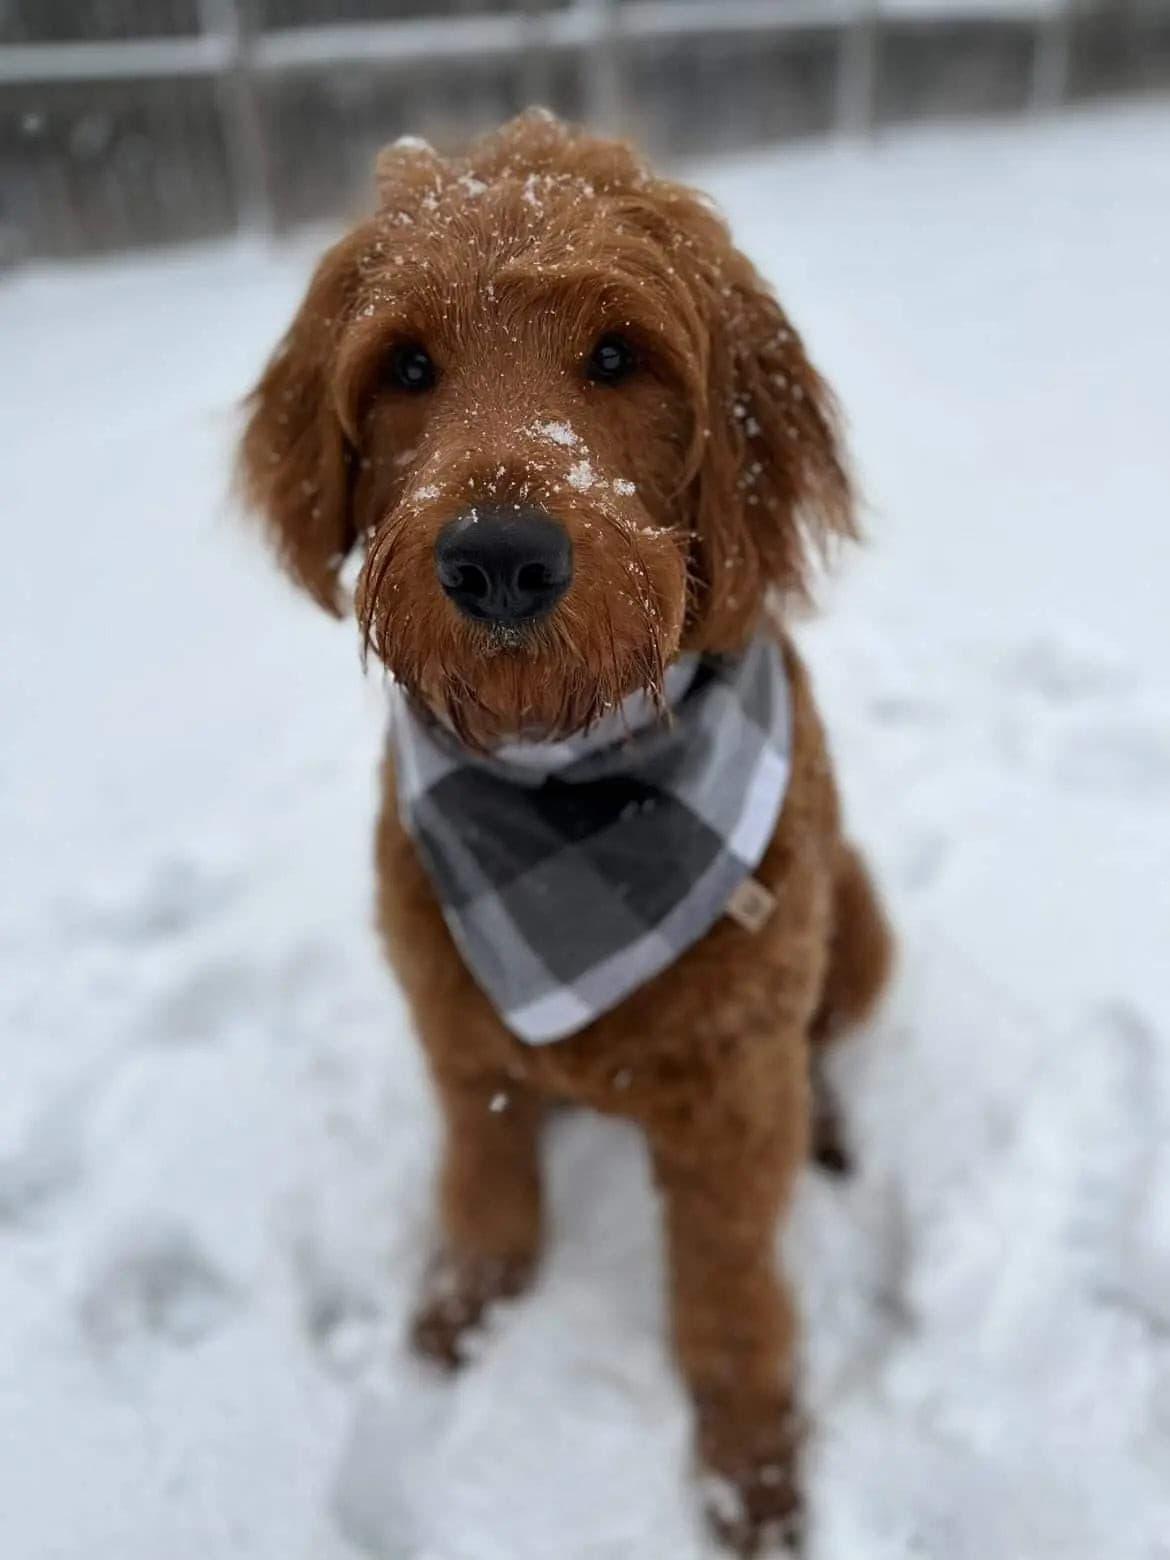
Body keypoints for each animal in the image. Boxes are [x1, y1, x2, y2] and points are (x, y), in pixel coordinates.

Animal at [243, 113, 892, 1560]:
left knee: (823, 1045)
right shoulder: (454, 1026)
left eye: (616, 356)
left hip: (859, 924)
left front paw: (749, 1479)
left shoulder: (729, 1090)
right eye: (406, 365)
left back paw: (827, 1127)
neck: (572, 792)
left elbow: (730, 1297)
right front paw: (456, 1320)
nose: (500, 560)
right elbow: (485, 1193)